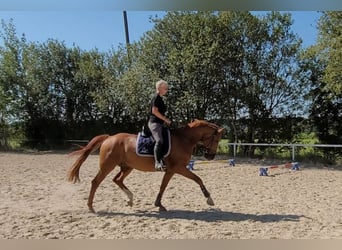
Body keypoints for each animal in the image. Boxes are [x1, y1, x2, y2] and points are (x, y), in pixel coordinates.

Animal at [68, 119, 224, 213]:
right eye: (216, 139)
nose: (211, 157)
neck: (184, 139)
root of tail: (109, 138)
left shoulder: (171, 170)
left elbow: (163, 186)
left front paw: (158, 204)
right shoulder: (178, 168)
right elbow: (198, 179)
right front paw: (209, 199)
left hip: (127, 167)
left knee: (117, 180)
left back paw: (130, 199)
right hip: (108, 166)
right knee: (96, 182)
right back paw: (91, 207)